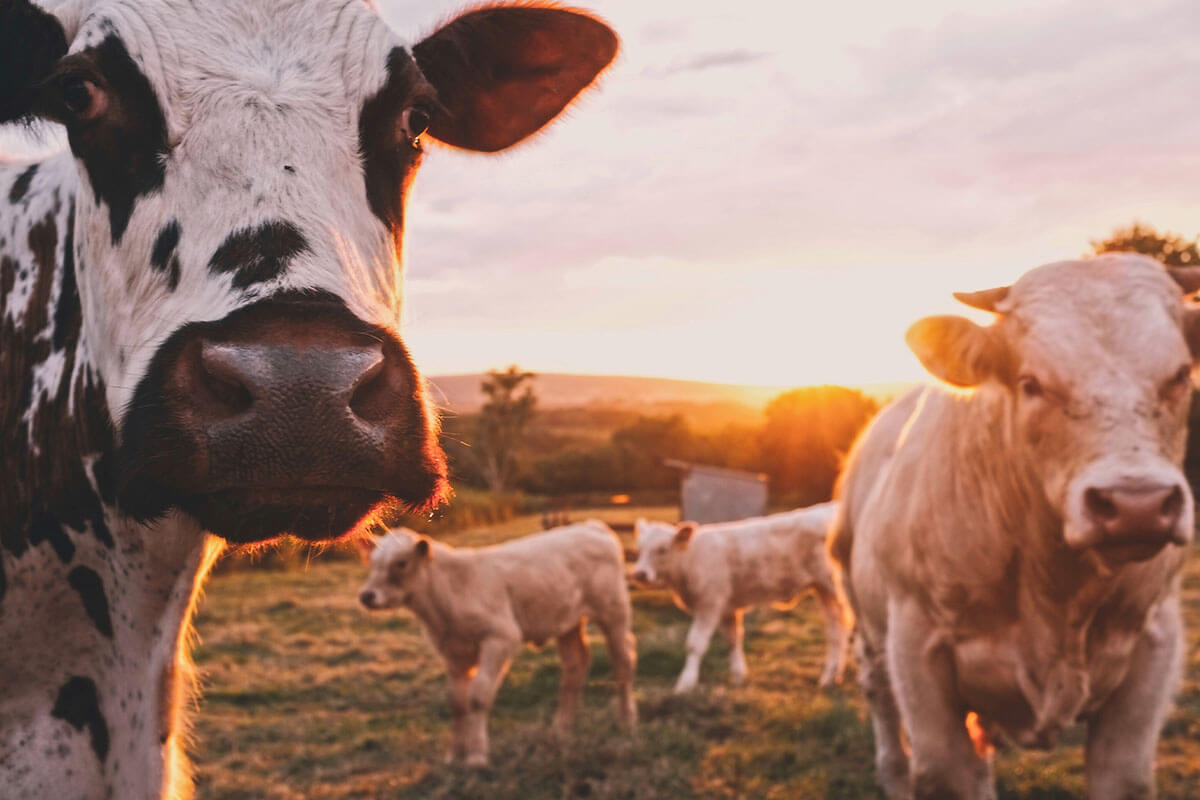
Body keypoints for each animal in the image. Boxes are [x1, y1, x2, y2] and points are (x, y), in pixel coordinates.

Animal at [355, 522, 638, 767]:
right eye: (372, 562)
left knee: (622, 661)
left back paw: (626, 721)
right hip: (567, 622)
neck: (449, 595)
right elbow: (457, 701)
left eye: (401, 563)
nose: (367, 596)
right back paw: (561, 728)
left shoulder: (501, 637)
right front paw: (454, 755)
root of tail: (591, 526)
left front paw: (477, 756)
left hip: (614, 612)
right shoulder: (453, 653)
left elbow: (478, 696)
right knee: (575, 666)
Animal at [633, 506, 849, 695]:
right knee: (836, 628)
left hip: (835, 586)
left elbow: (695, 644)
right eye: (640, 549)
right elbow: (733, 639)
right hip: (823, 590)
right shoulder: (727, 607)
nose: (640, 574)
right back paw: (831, 677)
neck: (690, 560)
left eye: (662, 549)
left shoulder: (710, 603)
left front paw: (685, 683)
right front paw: (738, 676)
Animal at [830, 256, 1200, 800]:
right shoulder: (917, 651)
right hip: (867, 626)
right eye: (1030, 383)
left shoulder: (1154, 646)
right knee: (882, 704)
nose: (1138, 504)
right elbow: (941, 772)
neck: (1058, 592)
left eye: (1178, 376)